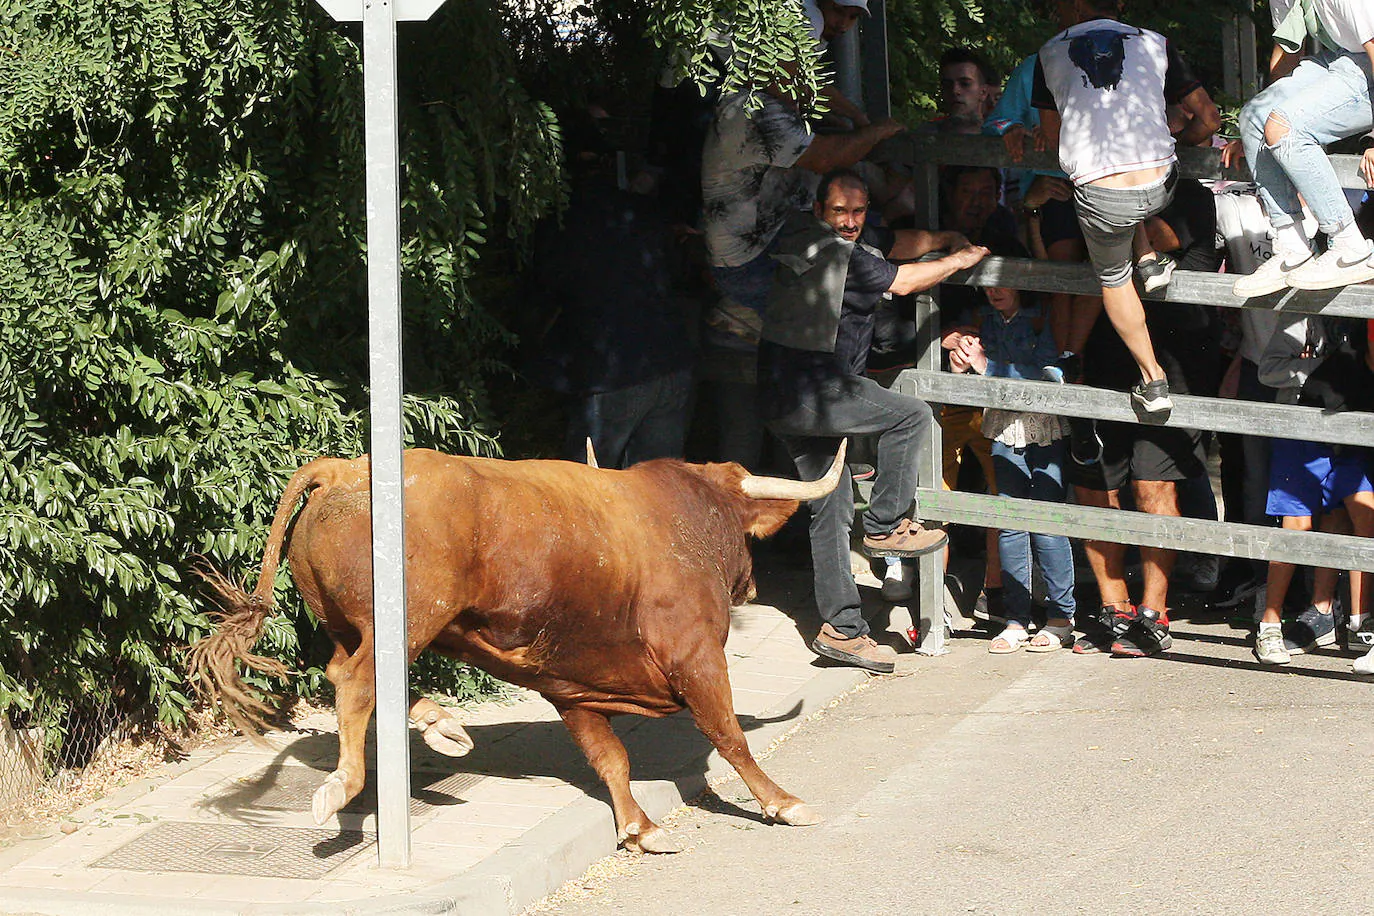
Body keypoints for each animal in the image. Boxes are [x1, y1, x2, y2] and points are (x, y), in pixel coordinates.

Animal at [188, 442, 840, 851]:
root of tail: (344, 470)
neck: (686, 518)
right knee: (356, 683)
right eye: (744, 533)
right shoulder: (697, 657)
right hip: (411, 617)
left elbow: (610, 758)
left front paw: (638, 827)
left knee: (343, 671)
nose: (751, 584)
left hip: (357, 624)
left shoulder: (573, 687)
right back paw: (345, 783)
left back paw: (440, 725)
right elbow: (729, 737)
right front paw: (785, 803)